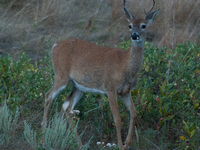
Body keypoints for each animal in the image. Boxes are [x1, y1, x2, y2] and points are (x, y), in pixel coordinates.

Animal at [41, 0, 159, 149]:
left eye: (143, 25)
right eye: (130, 25)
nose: (134, 35)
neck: (125, 66)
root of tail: (54, 46)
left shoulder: (125, 91)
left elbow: (134, 113)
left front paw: (127, 143)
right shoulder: (110, 88)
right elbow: (117, 119)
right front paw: (120, 145)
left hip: (78, 86)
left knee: (67, 106)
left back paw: (79, 144)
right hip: (61, 75)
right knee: (48, 96)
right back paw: (43, 136)